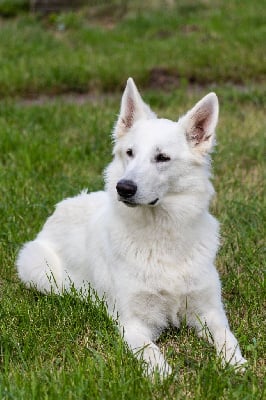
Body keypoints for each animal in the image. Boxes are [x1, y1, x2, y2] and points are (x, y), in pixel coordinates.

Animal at [16, 77, 246, 376]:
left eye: (162, 157)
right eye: (130, 153)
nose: (123, 188)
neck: (161, 239)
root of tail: (63, 206)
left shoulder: (210, 311)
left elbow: (228, 338)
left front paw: (237, 365)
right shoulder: (134, 324)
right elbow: (151, 353)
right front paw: (164, 377)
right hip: (40, 272)